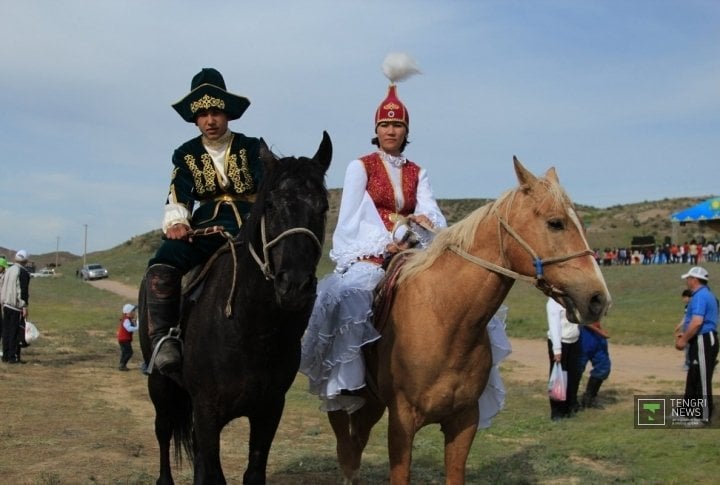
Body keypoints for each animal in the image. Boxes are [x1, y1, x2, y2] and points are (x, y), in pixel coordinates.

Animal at [139, 132, 334, 484]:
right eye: (270, 205)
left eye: (322, 207)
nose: (294, 286)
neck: (251, 330)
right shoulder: (207, 412)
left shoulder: (269, 411)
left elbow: (251, 472)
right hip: (159, 384)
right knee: (162, 430)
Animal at [330, 157, 612, 482]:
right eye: (555, 223)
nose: (598, 299)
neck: (445, 319)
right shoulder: (402, 423)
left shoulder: (464, 421)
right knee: (348, 449)